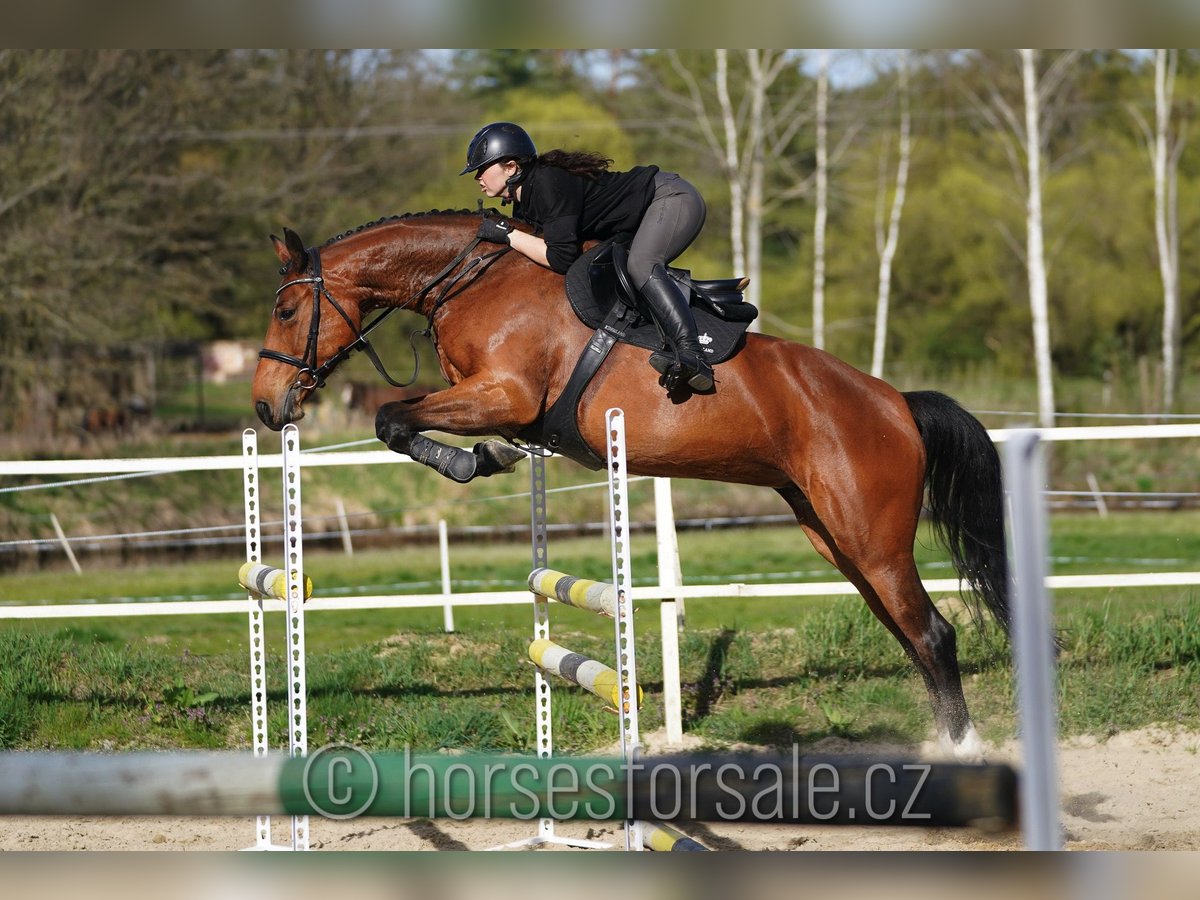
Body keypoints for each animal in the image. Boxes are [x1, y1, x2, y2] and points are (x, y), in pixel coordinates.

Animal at [253, 211, 1012, 763]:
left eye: (286, 313)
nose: (265, 407)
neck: (469, 280)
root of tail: (897, 402)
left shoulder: (504, 392)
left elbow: (391, 417)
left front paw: (478, 460)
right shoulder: (483, 395)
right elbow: (399, 418)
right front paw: (486, 457)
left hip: (872, 539)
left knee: (932, 633)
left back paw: (966, 752)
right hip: (836, 539)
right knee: (910, 635)